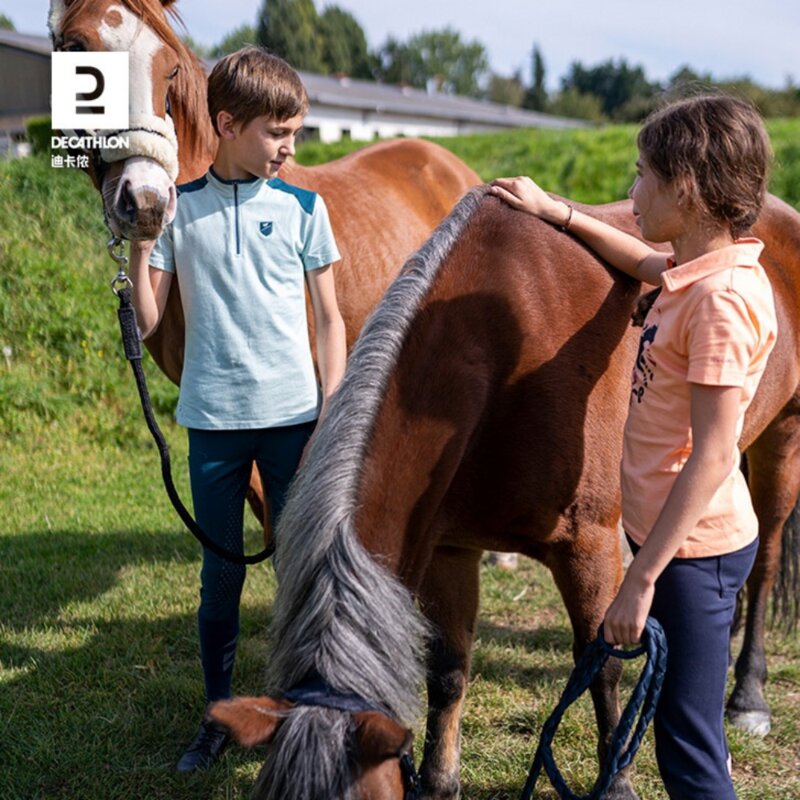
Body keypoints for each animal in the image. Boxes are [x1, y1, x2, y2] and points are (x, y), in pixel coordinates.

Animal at [212, 189, 800, 800]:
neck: (502, 350)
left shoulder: (589, 544)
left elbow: (603, 665)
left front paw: (617, 783)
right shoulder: (450, 549)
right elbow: (448, 667)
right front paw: (440, 779)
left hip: (780, 441)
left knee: (763, 561)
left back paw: (747, 696)